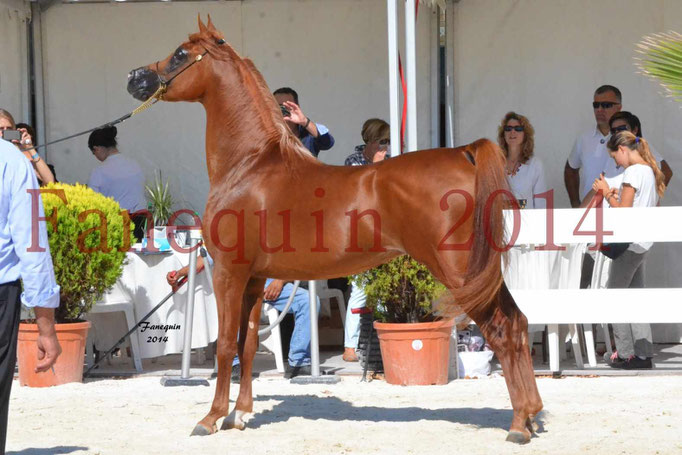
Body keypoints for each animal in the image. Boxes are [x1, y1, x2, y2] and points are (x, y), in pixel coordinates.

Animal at [126, 16, 540, 442]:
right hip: (480, 275)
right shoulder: (254, 280)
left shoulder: (229, 273)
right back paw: (531, 416)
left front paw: (211, 418)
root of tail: (464, 154)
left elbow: (226, 345)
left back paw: (518, 425)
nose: (134, 77)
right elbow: (246, 345)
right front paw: (239, 414)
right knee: (518, 323)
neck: (250, 165)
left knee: (502, 330)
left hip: (460, 273)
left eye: (180, 54)